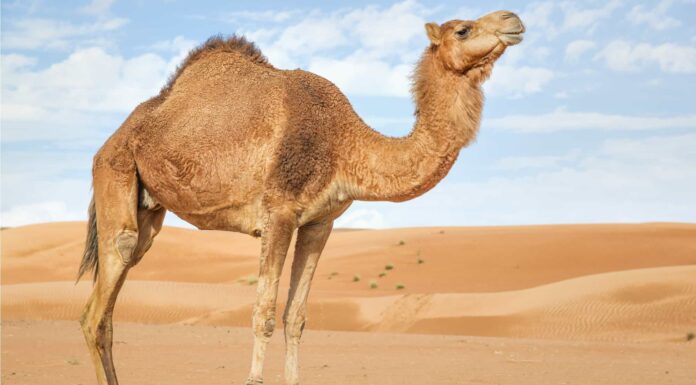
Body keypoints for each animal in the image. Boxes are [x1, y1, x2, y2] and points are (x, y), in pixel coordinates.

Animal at [76, 9, 520, 384]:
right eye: (463, 29)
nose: (513, 20)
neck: (343, 142)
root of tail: (110, 140)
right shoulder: (278, 213)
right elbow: (264, 315)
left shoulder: (319, 223)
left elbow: (296, 318)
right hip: (115, 170)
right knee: (101, 298)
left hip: (148, 208)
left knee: (111, 298)